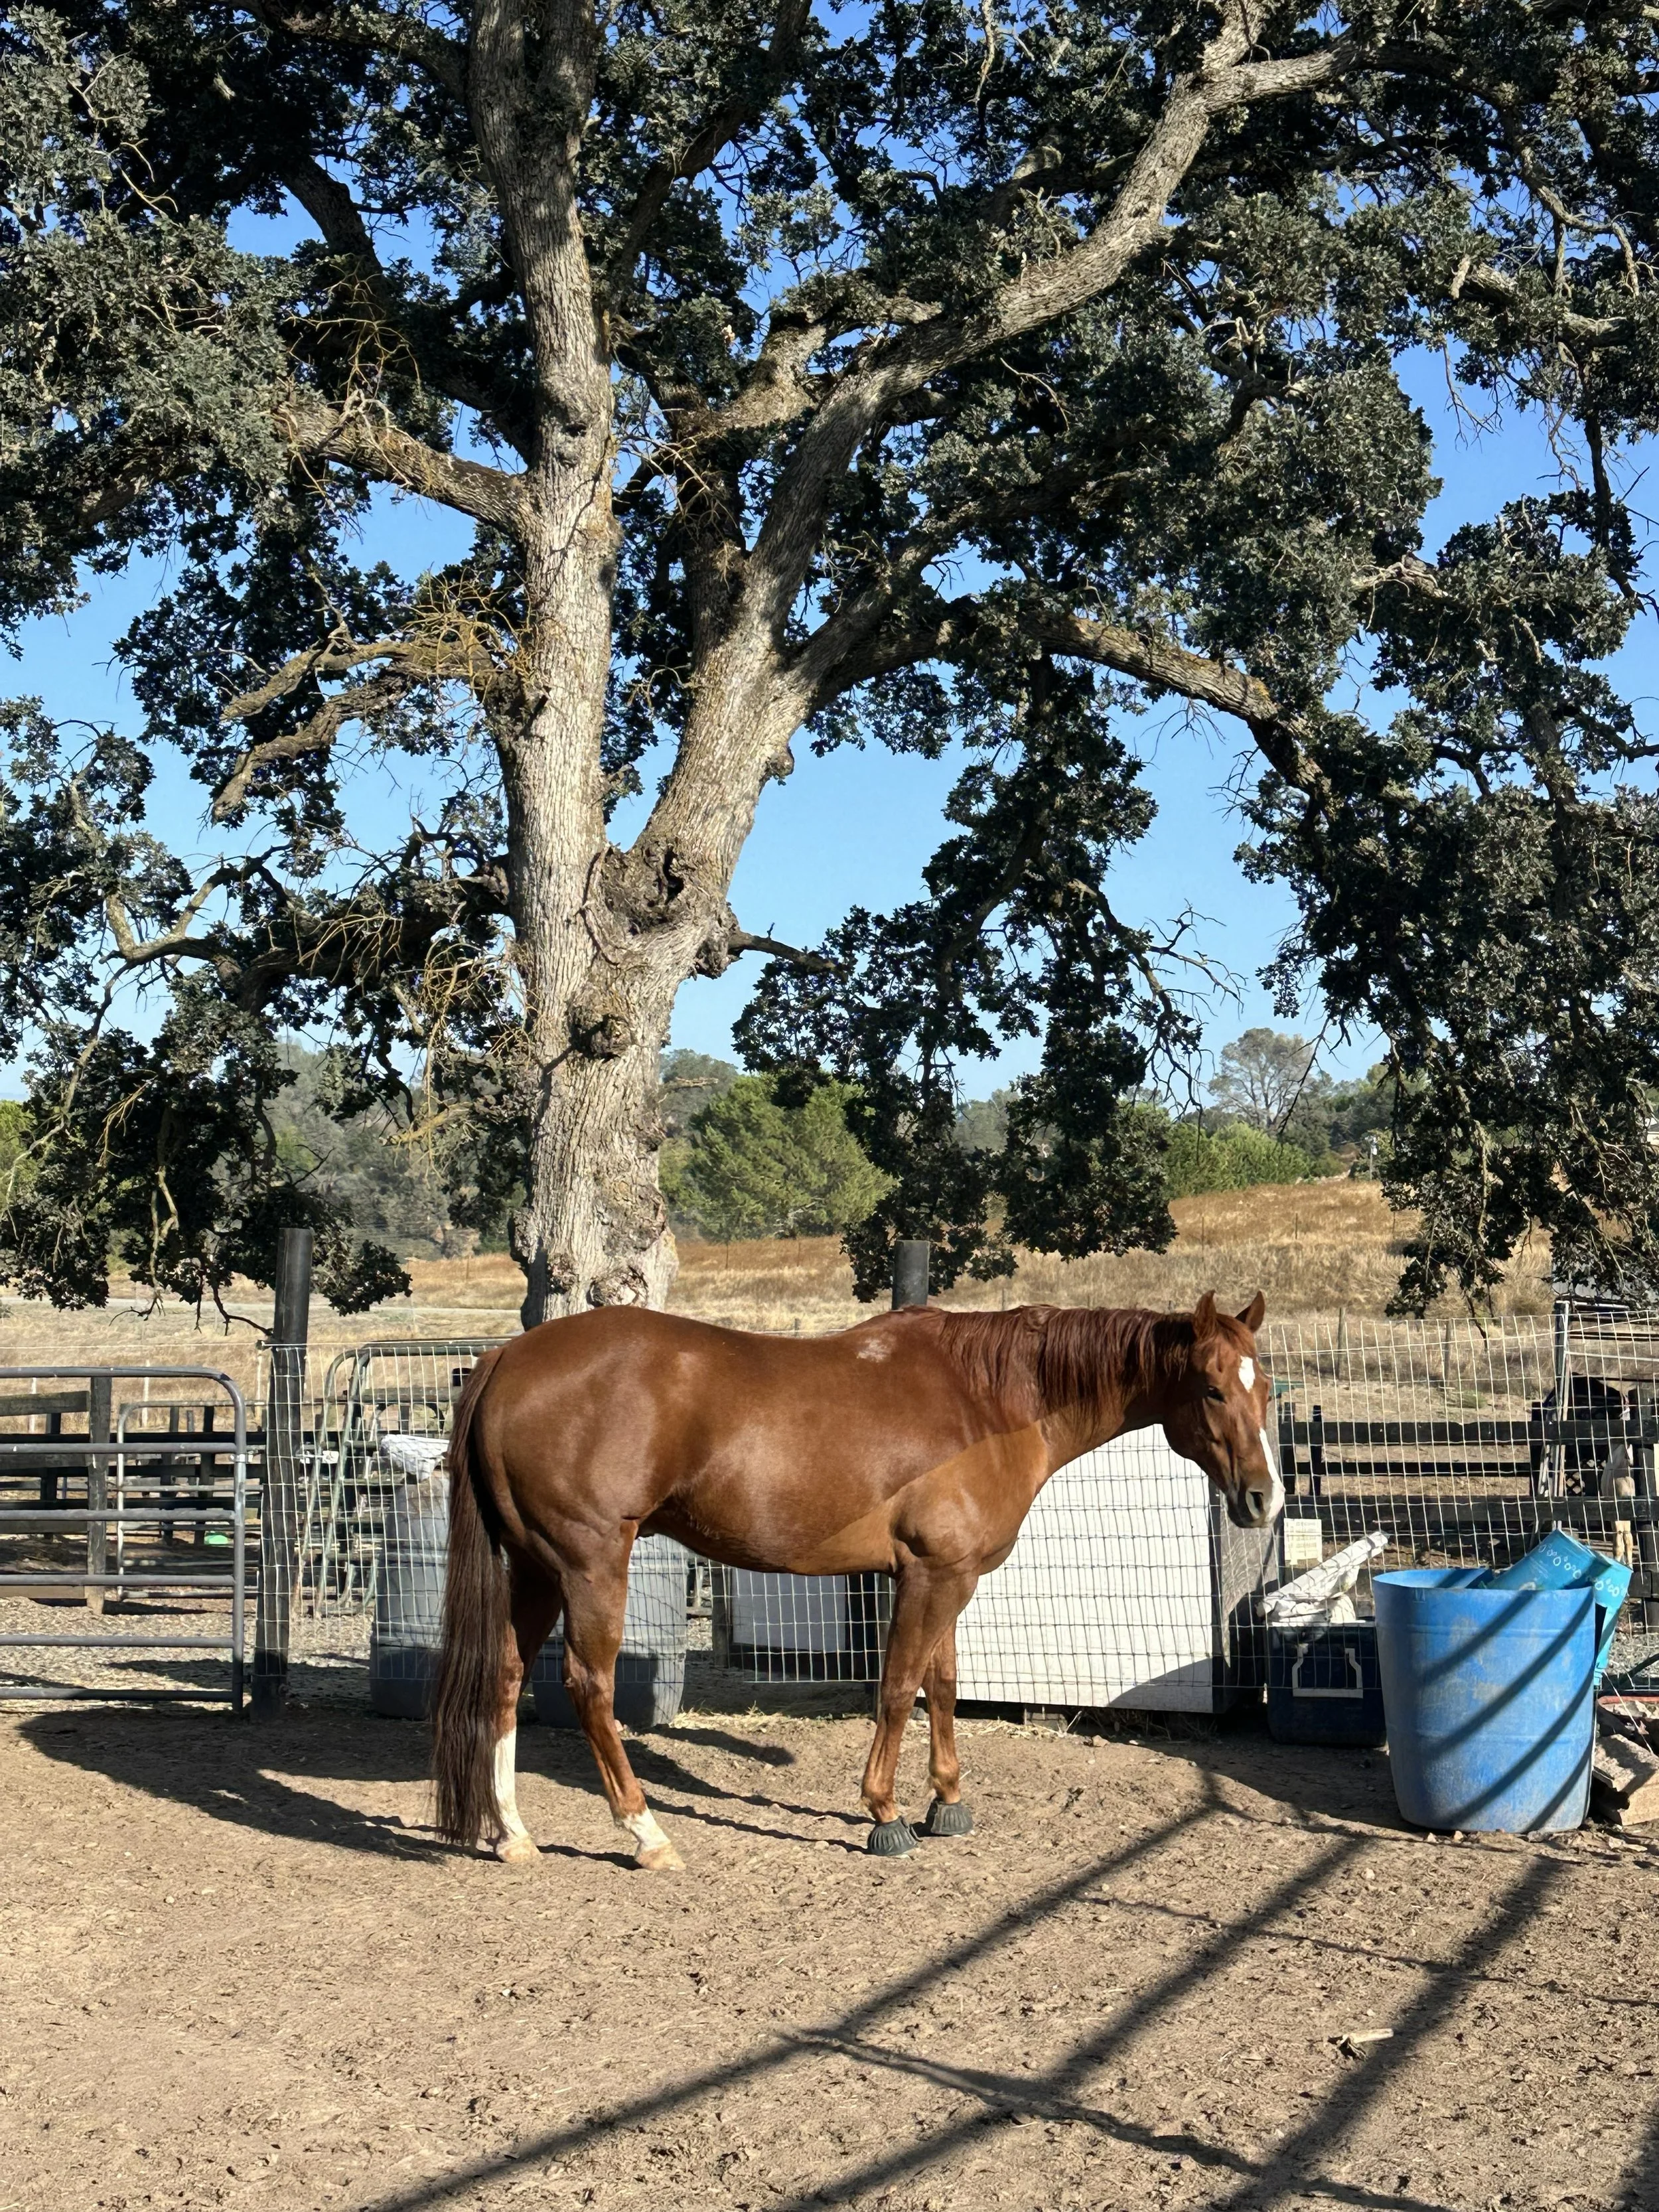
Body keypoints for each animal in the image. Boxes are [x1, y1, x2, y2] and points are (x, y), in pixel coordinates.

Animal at [431, 1288, 1282, 1869]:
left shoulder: (950, 1575)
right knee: (589, 1686)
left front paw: (948, 1801)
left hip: (536, 1568)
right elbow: (899, 1685)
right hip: (589, 1564)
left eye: (1265, 1388)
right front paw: (886, 1814)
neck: (986, 1398)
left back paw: (512, 1834)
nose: (1264, 1499)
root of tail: (506, 1358)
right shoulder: (931, 1576)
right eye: (1211, 1388)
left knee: (505, 1676)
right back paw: (645, 1831)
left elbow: (942, 1684)